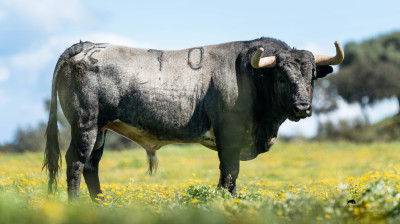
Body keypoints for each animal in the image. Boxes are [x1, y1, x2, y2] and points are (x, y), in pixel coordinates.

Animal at [43, 37, 344, 200]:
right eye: (281, 76)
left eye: (312, 77)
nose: (303, 107)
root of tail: (87, 45)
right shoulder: (229, 136)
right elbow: (230, 175)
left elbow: (227, 177)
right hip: (86, 124)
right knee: (76, 163)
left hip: (101, 129)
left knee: (91, 166)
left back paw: (102, 205)